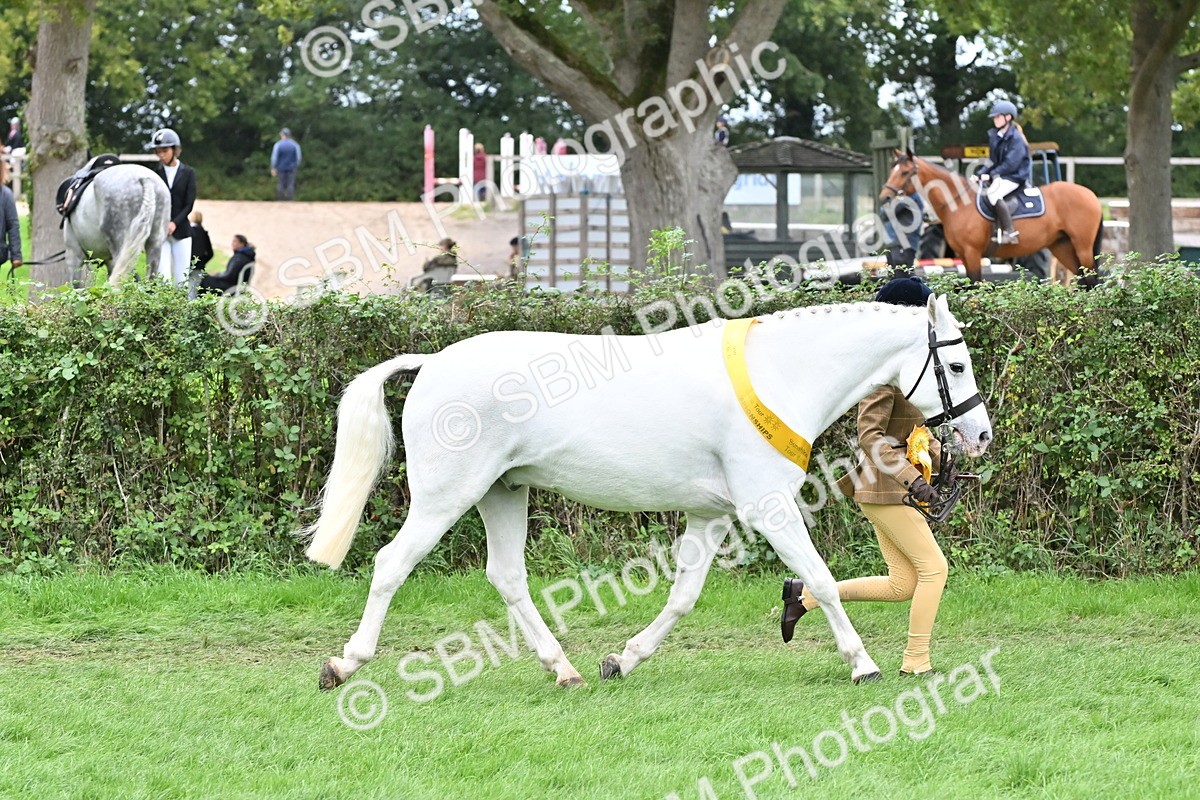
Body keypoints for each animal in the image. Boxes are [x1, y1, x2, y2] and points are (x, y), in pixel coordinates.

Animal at [302, 294, 993, 690]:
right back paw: (343, 665)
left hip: (503, 492)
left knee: (507, 576)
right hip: (447, 495)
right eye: (957, 365)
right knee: (392, 563)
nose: (981, 434)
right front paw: (863, 663)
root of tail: (433, 362)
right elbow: (820, 580)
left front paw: (623, 659)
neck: (779, 374)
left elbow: (683, 596)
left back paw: (566, 670)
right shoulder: (767, 506)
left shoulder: (710, 515)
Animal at [881, 149, 1104, 283]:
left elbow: (976, 285)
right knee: (1084, 279)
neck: (959, 203)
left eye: (904, 172)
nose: (884, 197)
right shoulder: (963, 255)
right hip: (1061, 246)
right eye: (892, 170)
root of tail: (1090, 195)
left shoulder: (972, 253)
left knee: (1092, 279)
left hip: (1082, 246)